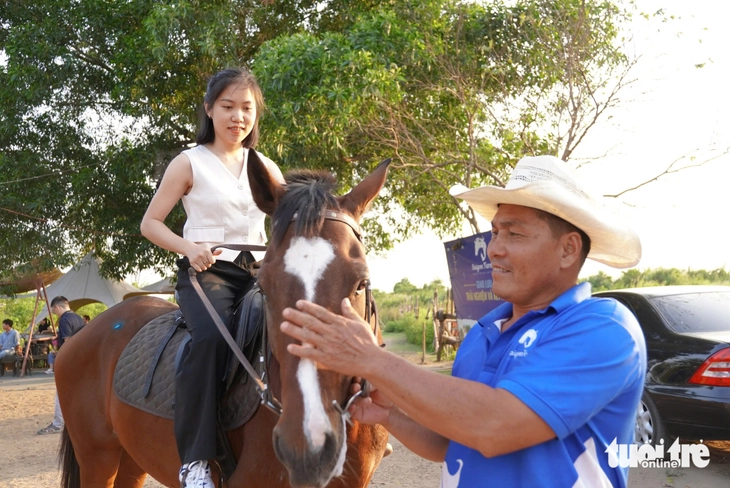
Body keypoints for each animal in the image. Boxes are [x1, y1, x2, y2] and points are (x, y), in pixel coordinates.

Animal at [57, 153, 390, 488]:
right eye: (264, 286)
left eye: (361, 282)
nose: (307, 444)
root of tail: (83, 334)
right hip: (97, 457)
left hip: (131, 457)